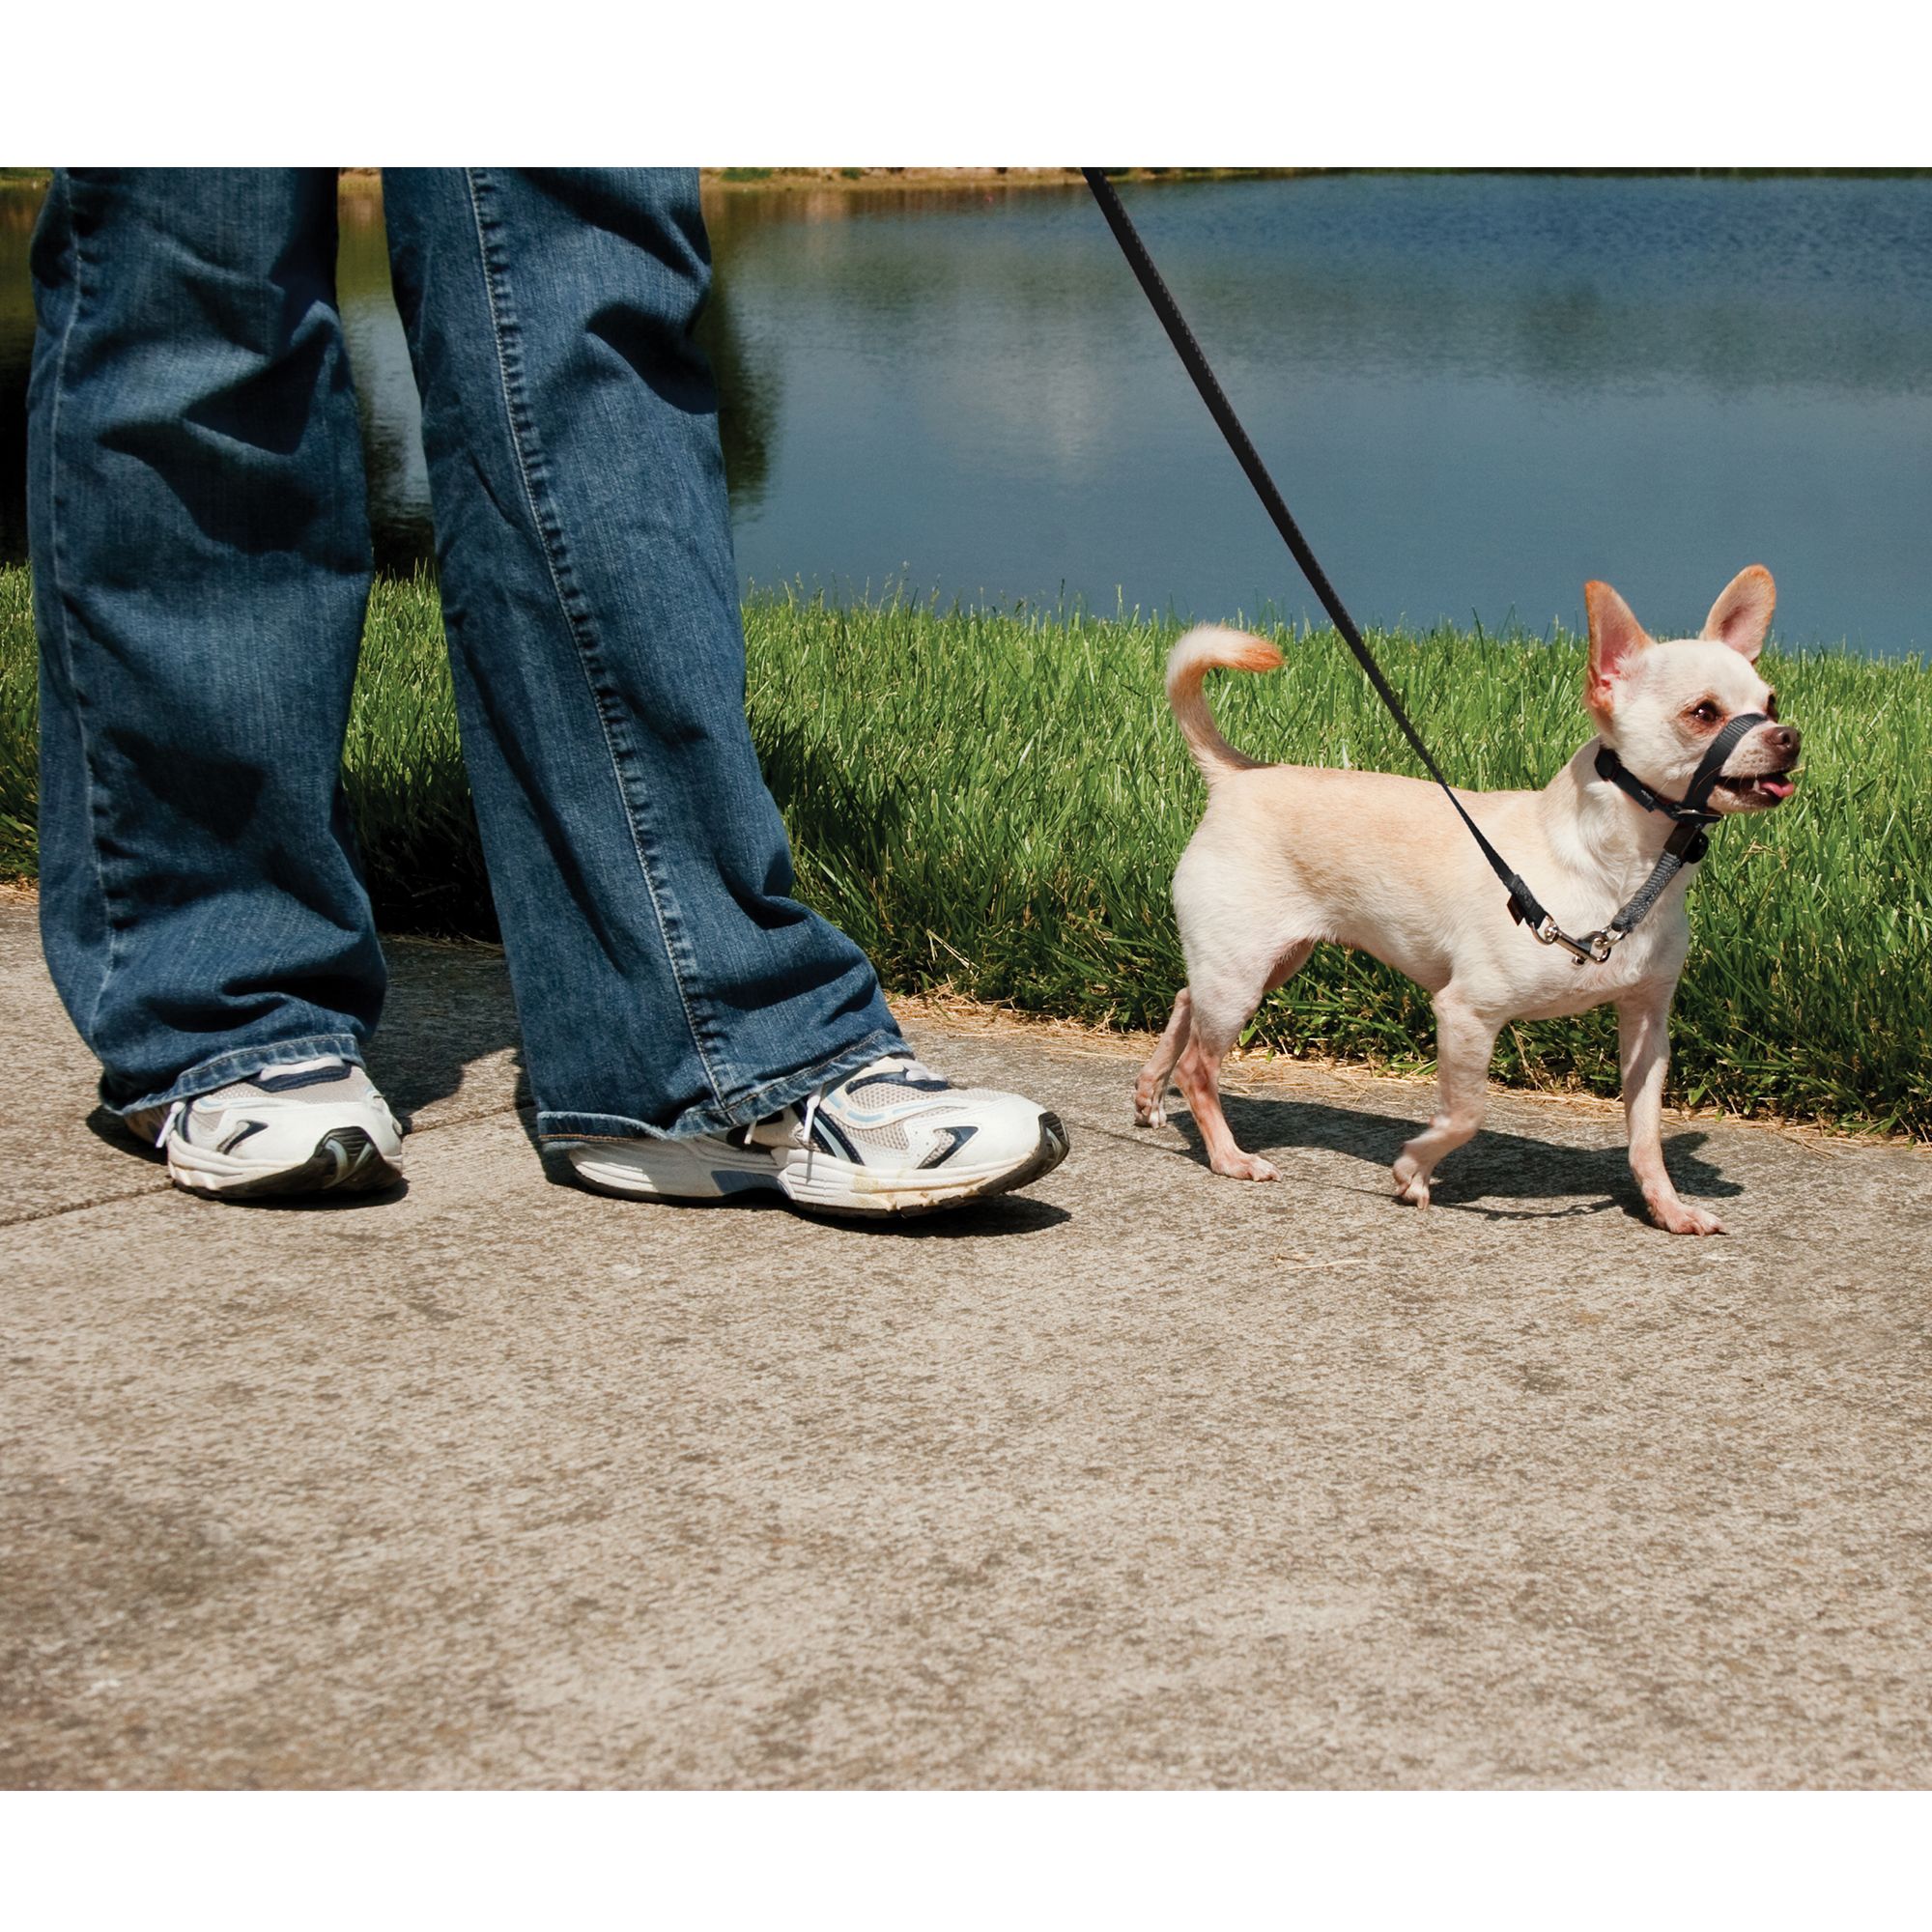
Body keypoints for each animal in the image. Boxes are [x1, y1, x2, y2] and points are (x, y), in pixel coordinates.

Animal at [1136, 568, 1801, 1236]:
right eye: (1704, 713)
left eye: (1769, 704)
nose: (1790, 736)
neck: (1625, 876)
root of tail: (1237, 775)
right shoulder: (1466, 1012)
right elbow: (1466, 1113)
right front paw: (1412, 1169)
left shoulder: (1646, 1027)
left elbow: (1645, 1136)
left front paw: (1667, 1207)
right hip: (1244, 975)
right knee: (1201, 1066)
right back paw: (1228, 1155)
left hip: (1266, 963)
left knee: (1186, 997)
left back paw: (1149, 1091)